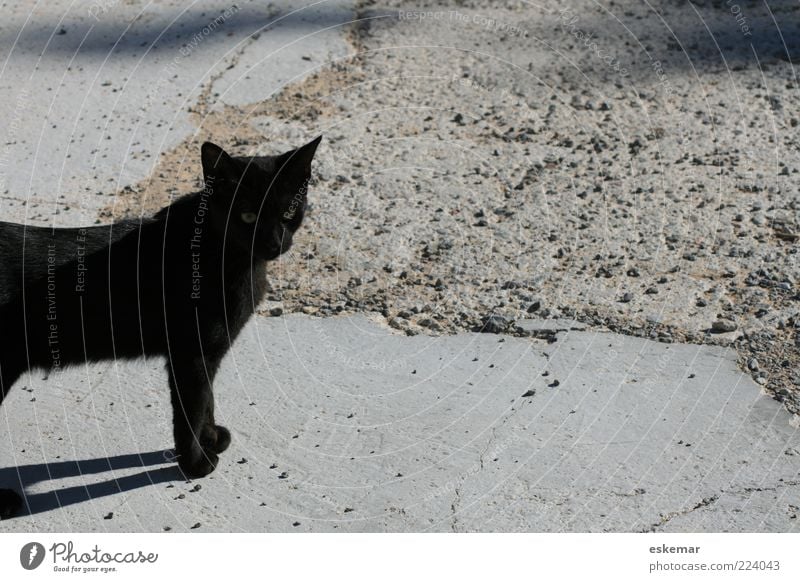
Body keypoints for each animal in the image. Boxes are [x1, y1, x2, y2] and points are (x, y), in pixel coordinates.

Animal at [0, 138, 322, 520]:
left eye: (289, 212)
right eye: (246, 215)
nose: (273, 244)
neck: (226, 256)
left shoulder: (207, 354)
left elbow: (207, 400)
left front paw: (211, 437)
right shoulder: (190, 356)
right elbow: (190, 410)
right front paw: (195, 463)